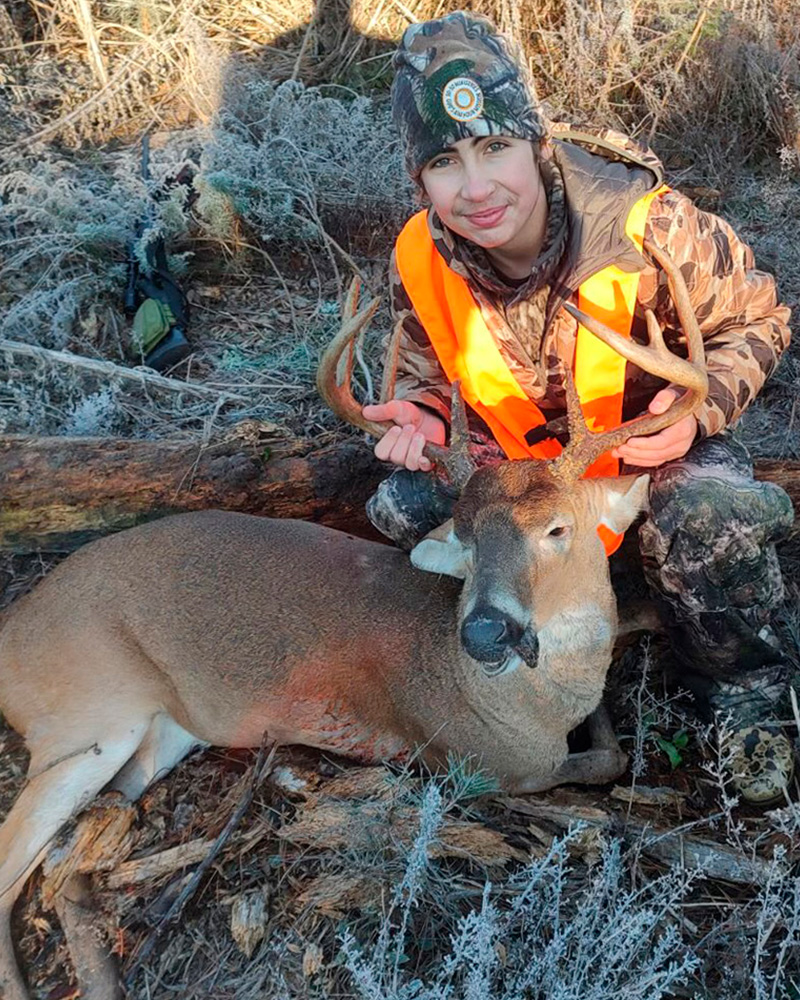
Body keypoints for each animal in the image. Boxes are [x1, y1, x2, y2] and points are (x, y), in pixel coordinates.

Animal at [0, 241, 707, 1000]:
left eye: (557, 529)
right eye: (466, 536)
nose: (484, 631)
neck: (532, 701)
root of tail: (12, 627)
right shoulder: (482, 766)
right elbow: (606, 758)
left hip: (154, 738)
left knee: (65, 863)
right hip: (87, 719)